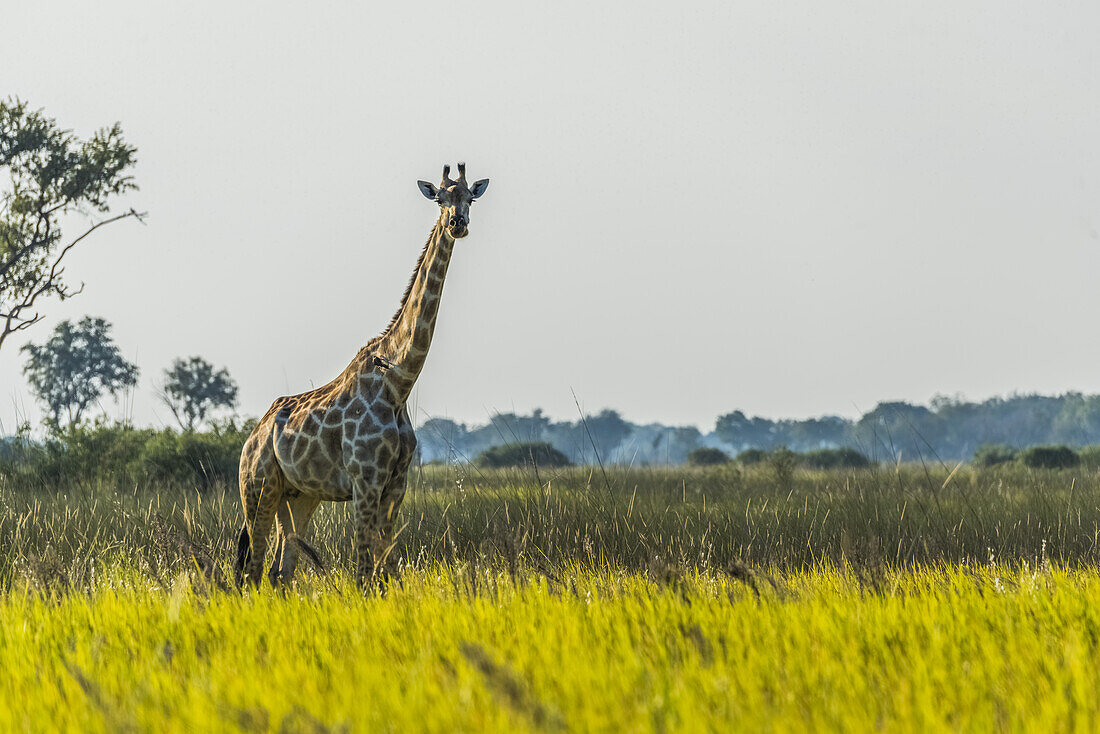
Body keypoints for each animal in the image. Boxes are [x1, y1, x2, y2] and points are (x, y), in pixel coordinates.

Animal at [236, 163, 490, 589]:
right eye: (440, 199)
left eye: (470, 197)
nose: (458, 223)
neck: (398, 384)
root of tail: (253, 436)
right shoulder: (365, 481)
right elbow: (364, 573)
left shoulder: (395, 485)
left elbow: (385, 571)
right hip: (257, 488)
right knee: (253, 570)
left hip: (299, 496)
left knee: (280, 571)